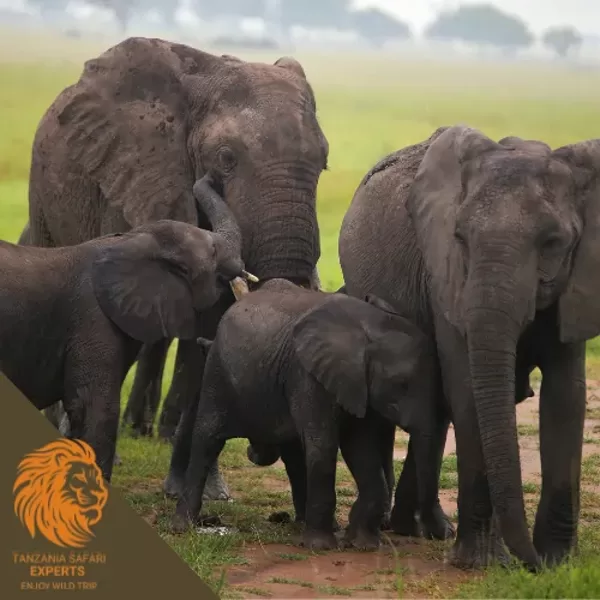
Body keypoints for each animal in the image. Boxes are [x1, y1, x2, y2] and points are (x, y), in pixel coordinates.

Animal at [27, 35, 328, 500]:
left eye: (324, 160)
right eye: (226, 158)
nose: (260, 451)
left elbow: (211, 336)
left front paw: (206, 492)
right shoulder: (134, 178)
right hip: (44, 196)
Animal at [164, 278, 446, 552]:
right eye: (401, 385)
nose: (436, 533)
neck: (368, 328)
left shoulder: (357, 386)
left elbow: (361, 449)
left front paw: (362, 544)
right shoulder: (308, 376)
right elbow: (323, 445)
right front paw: (321, 547)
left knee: (292, 453)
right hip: (217, 373)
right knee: (207, 441)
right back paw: (181, 527)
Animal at [340, 123, 600, 572]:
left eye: (554, 242)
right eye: (460, 237)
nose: (529, 564)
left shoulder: (577, 278)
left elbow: (565, 396)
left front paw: (558, 564)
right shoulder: (445, 274)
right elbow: (465, 388)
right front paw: (482, 563)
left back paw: (425, 529)